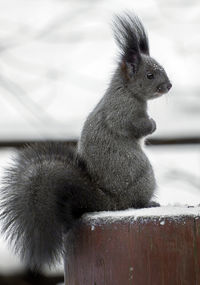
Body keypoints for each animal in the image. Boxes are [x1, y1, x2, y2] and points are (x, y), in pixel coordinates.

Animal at [0, 12, 172, 268]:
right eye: (150, 75)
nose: (169, 86)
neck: (126, 90)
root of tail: (110, 203)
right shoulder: (122, 112)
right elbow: (132, 126)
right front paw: (151, 125)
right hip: (143, 176)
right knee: (134, 202)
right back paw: (147, 203)